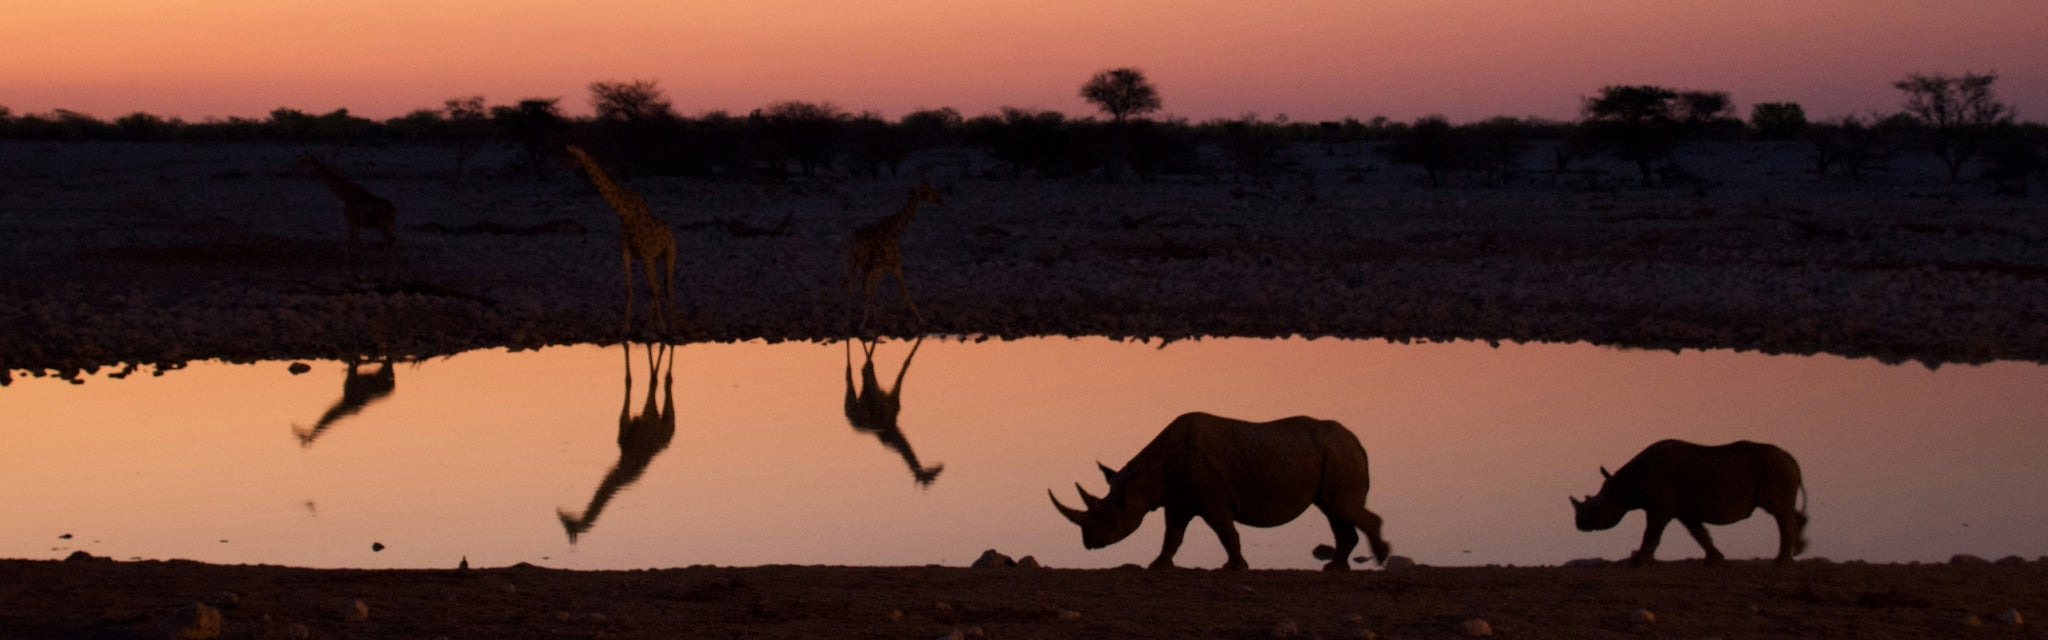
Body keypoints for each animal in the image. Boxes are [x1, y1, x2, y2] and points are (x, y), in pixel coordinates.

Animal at [1050, 412, 1391, 570]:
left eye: (1113, 517)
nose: (1089, 543)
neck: (1147, 476)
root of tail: (1356, 441)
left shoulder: (1211, 498)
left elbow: (1226, 531)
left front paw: (1235, 567)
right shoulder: (1177, 500)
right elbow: (1173, 536)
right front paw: (1158, 565)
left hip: (1338, 455)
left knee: (1341, 507)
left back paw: (1380, 557)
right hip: (1333, 456)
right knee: (1334, 510)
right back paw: (1334, 568)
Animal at [1571, 439, 1809, 565]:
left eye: (1595, 507)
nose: (1579, 525)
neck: (1624, 486)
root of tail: (1794, 462)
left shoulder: (1660, 505)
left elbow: (1652, 531)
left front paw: (1638, 559)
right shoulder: (1685, 509)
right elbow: (1699, 533)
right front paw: (1715, 558)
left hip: (1776, 470)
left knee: (1777, 510)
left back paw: (1780, 561)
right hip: (1777, 469)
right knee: (1784, 510)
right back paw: (1798, 550)